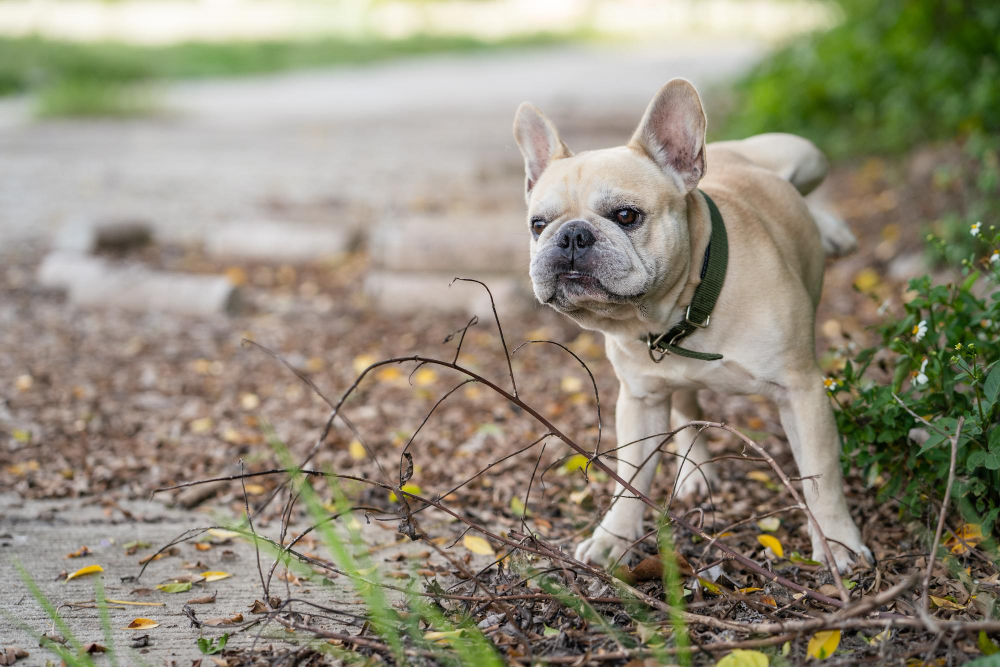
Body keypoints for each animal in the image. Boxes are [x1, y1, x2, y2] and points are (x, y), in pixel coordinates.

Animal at [512, 78, 871, 572]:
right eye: (537, 224)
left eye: (626, 215)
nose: (571, 235)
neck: (683, 308)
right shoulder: (640, 400)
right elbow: (630, 478)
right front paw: (614, 537)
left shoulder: (802, 391)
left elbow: (823, 475)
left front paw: (838, 543)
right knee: (686, 407)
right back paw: (693, 470)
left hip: (805, 152)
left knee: (808, 189)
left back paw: (832, 231)